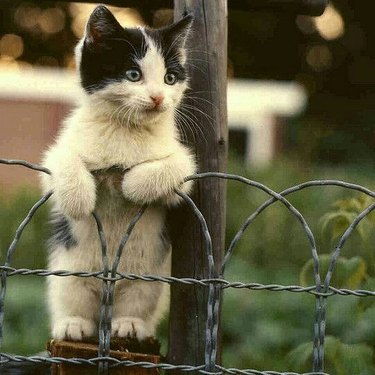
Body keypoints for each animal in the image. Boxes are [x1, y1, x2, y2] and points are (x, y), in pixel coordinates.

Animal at [40, 5, 197, 340]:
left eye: (170, 78)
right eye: (133, 75)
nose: (158, 98)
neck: (126, 129)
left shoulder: (184, 167)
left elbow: (175, 167)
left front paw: (133, 185)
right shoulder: (57, 154)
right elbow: (62, 161)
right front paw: (78, 200)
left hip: (147, 279)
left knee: (138, 300)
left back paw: (129, 325)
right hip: (68, 271)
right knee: (72, 296)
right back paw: (72, 324)